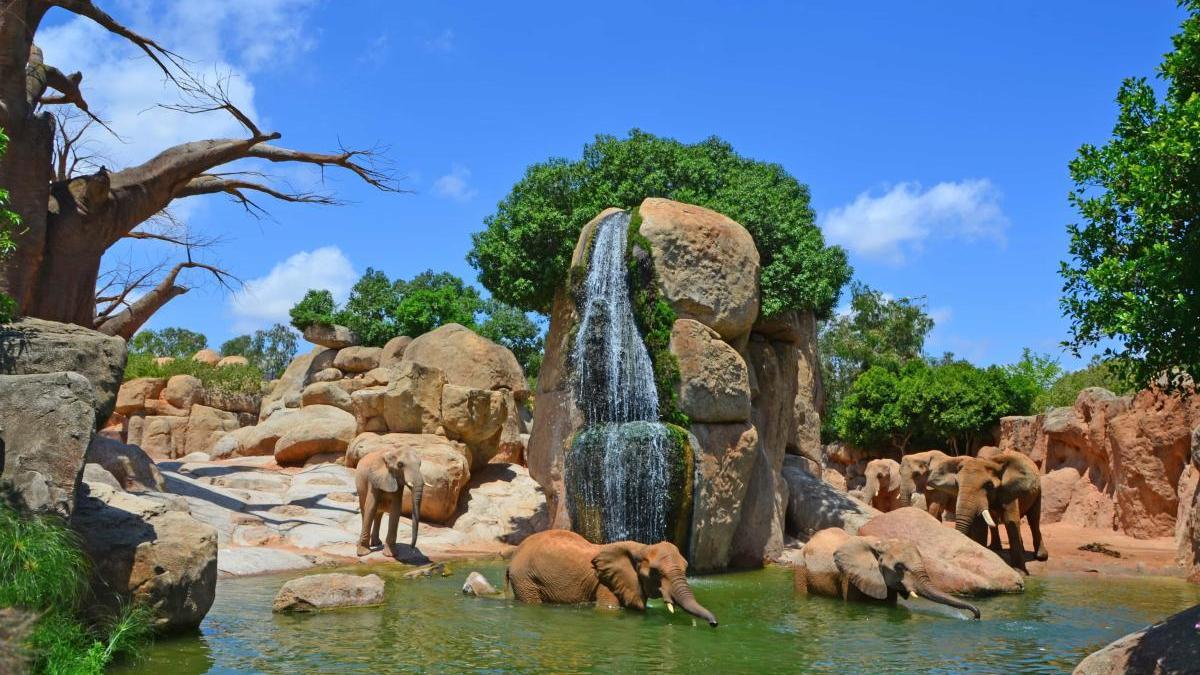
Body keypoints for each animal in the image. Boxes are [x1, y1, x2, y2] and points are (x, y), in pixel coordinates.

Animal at [504, 526, 715, 624]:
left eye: (686, 569)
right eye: (656, 573)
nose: (714, 623)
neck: (641, 547)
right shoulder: (606, 582)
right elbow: (607, 610)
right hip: (525, 579)